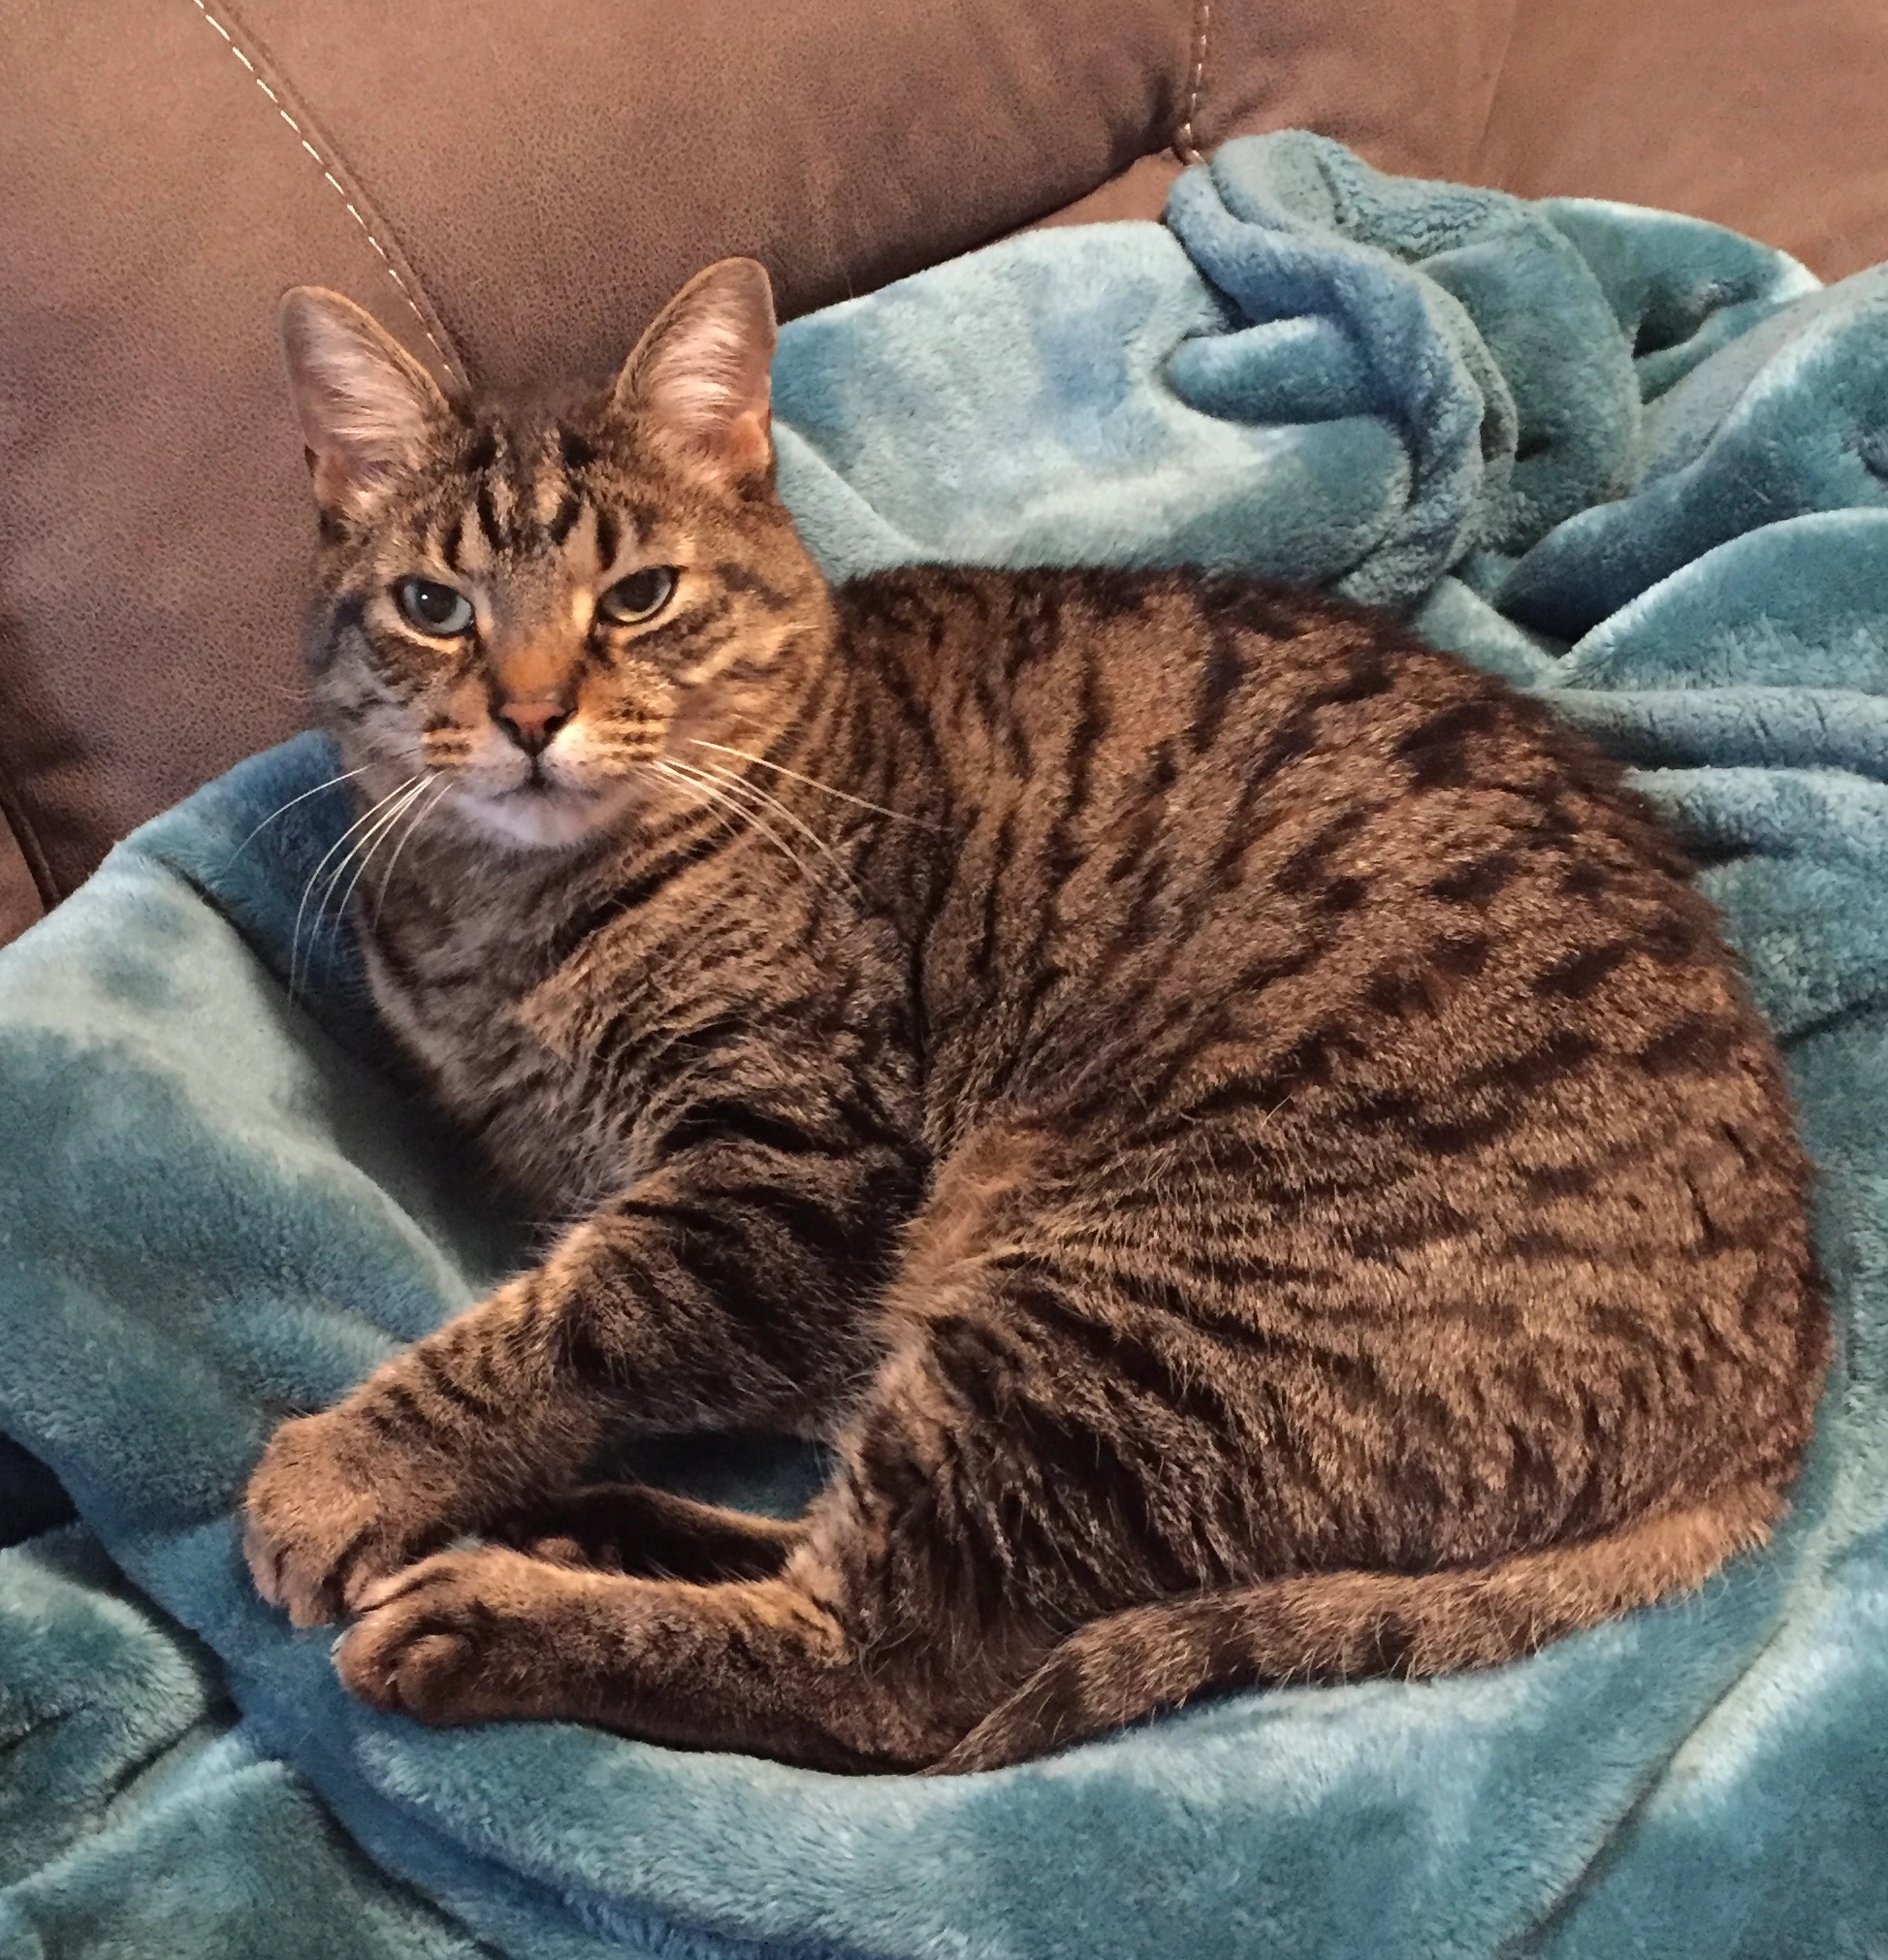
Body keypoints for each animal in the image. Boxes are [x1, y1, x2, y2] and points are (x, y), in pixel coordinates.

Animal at [243, 256, 1830, 1773]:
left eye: (635, 596)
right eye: (434, 607)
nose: (526, 718)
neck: (509, 916)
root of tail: (1774, 1417)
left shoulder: (777, 1174)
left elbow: (548, 1332)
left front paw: (340, 1472)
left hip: (1090, 1320)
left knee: (880, 1670)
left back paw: (496, 1611)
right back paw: (592, 1523)